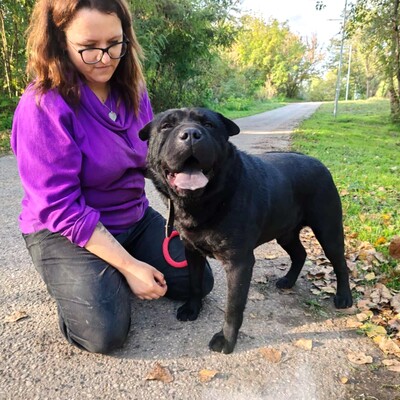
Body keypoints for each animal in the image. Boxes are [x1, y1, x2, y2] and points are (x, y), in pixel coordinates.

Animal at [138, 106, 354, 354]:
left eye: (209, 125)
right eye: (167, 126)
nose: (191, 134)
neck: (203, 201)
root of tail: (318, 162)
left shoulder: (239, 263)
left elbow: (233, 306)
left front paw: (226, 340)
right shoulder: (191, 251)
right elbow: (194, 283)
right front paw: (192, 308)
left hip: (328, 230)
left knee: (340, 264)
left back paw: (344, 297)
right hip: (286, 234)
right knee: (300, 253)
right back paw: (288, 281)